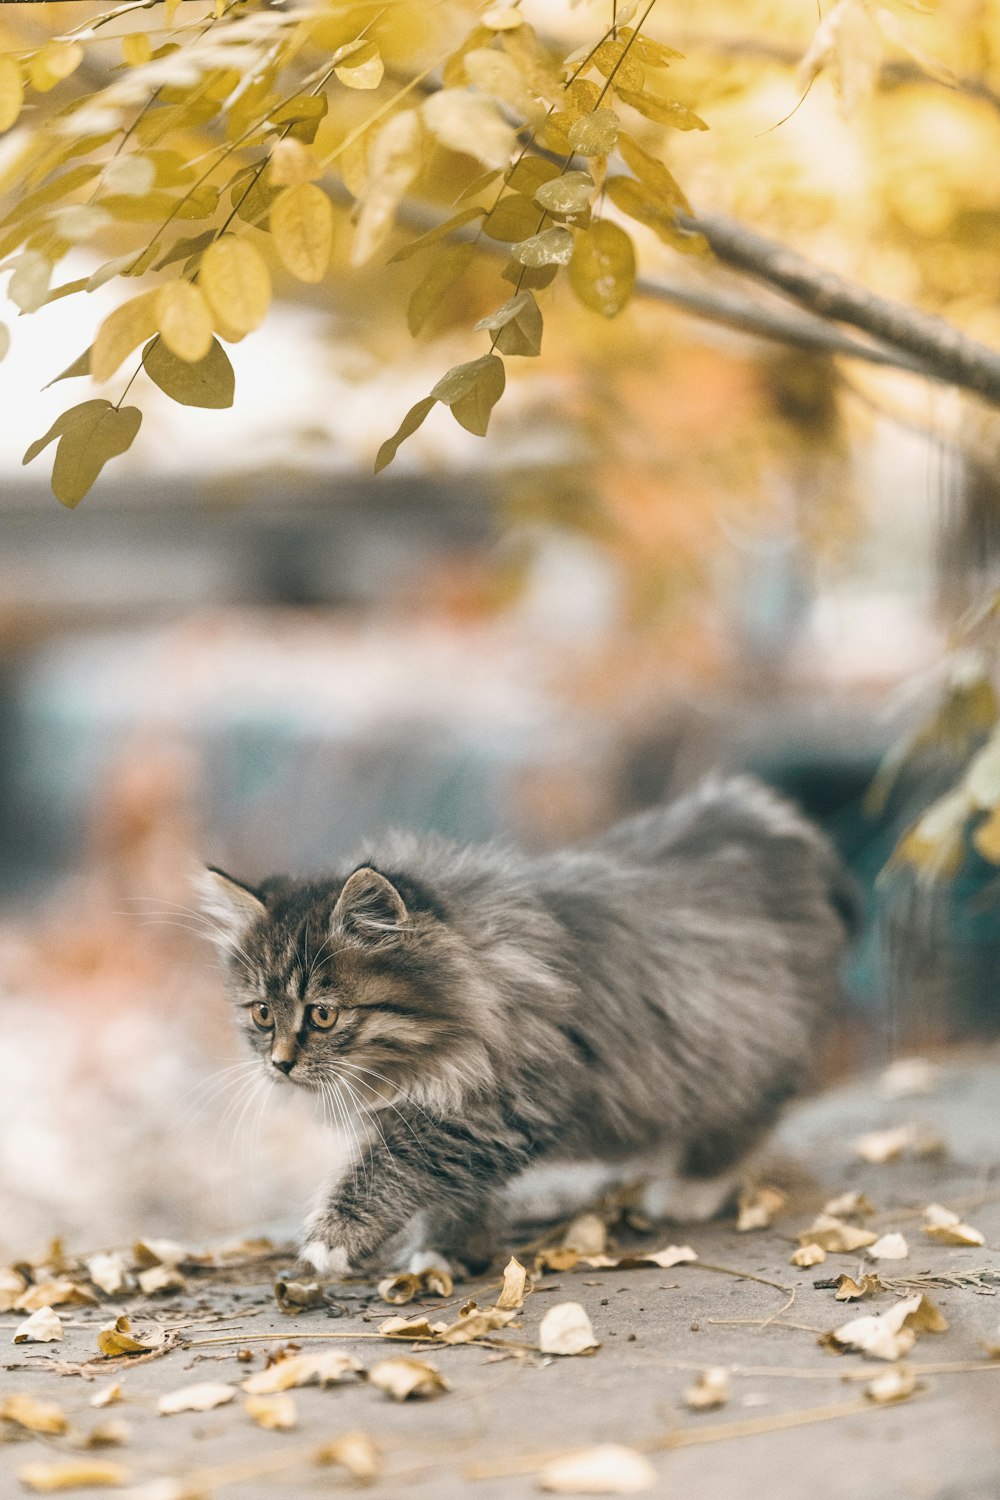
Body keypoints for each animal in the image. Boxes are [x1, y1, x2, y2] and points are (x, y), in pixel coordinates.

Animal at [200, 774, 863, 1278]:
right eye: (262, 1014)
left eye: (322, 1013)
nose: (280, 1064)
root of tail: (764, 821)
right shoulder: (448, 1112)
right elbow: (447, 1188)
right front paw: (448, 1254)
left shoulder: (504, 1104)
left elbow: (395, 1166)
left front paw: (333, 1239)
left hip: (739, 1042)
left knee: (744, 1118)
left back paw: (689, 1189)